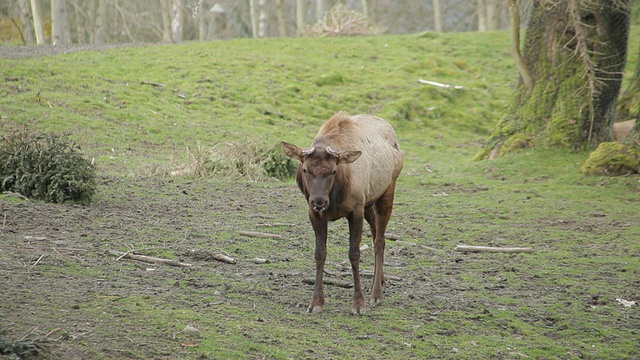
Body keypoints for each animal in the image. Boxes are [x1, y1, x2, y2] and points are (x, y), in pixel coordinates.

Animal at [282, 112, 402, 316]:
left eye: (333, 170)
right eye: (305, 169)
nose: (319, 202)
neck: (336, 195)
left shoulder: (355, 210)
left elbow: (354, 254)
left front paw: (359, 304)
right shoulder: (315, 215)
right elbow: (319, 253)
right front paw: (316, 302)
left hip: (386, 192)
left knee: (379, 241)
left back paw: (376, 293)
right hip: (369, 203)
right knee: (377, 235)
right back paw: (380, 280)